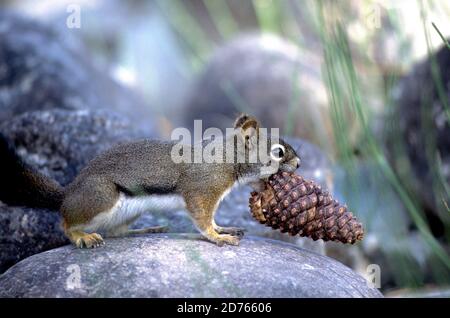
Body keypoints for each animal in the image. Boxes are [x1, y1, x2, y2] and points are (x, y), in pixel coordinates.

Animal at [0, 114, 302, 248]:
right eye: (278, 152)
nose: (299, 164)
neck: (226, 159)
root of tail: (68, 193)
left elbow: (212, 217)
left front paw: (223, 227)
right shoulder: (202, 189)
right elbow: (202, 218)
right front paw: (218, 237)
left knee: (117, 232)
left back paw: (147, 229)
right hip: (100, 197)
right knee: (66, 222)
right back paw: (82, 236)